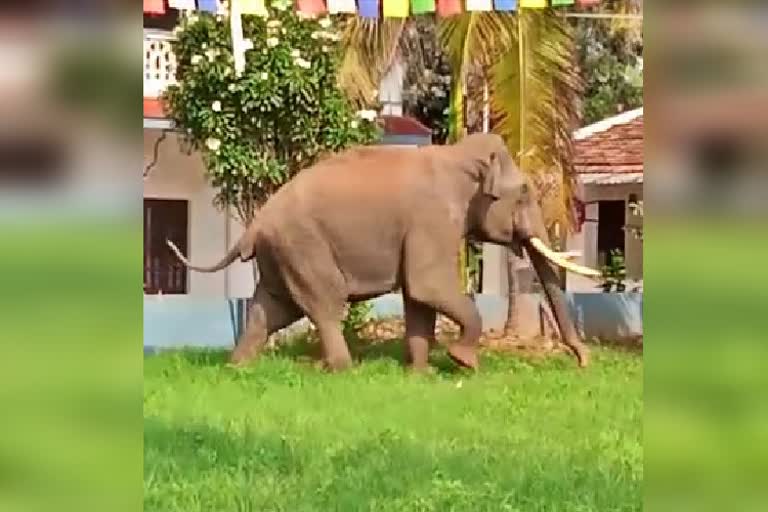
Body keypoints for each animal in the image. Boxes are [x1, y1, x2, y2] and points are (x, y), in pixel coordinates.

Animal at [166, 134, 600, 370]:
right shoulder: (431, 220)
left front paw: (421, 374)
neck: (458, 154)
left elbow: (419, 298)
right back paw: (343, 369)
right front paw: (464, 362)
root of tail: (254, 224)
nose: (583, 362)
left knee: (269, 310)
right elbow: (428, 286)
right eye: (524, 192)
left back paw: (238, 367)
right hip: (303, 247)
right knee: (325, 303)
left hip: (281, 255)